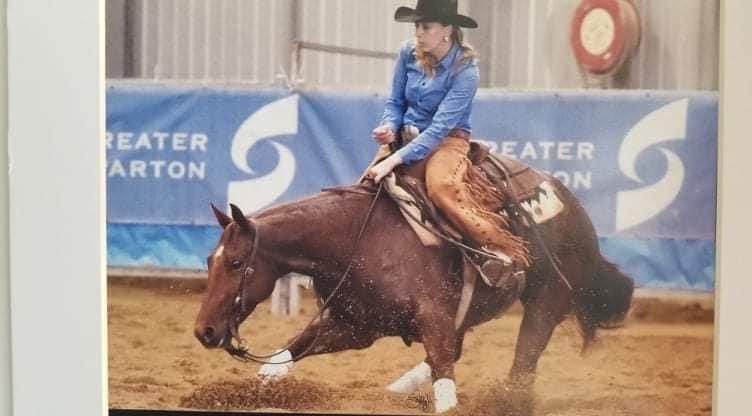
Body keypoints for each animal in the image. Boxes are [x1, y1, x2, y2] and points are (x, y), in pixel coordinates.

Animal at [193, 170, 634, 414]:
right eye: (210, 260)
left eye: (236, 263)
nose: (205, 331)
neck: (357, 241)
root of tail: (573, 205)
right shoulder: (356, 327)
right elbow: (285, 355)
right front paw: (246, 392)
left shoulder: (434, 317)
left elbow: (444, 375)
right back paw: (396, 392)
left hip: (547, 301)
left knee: (522, 364)